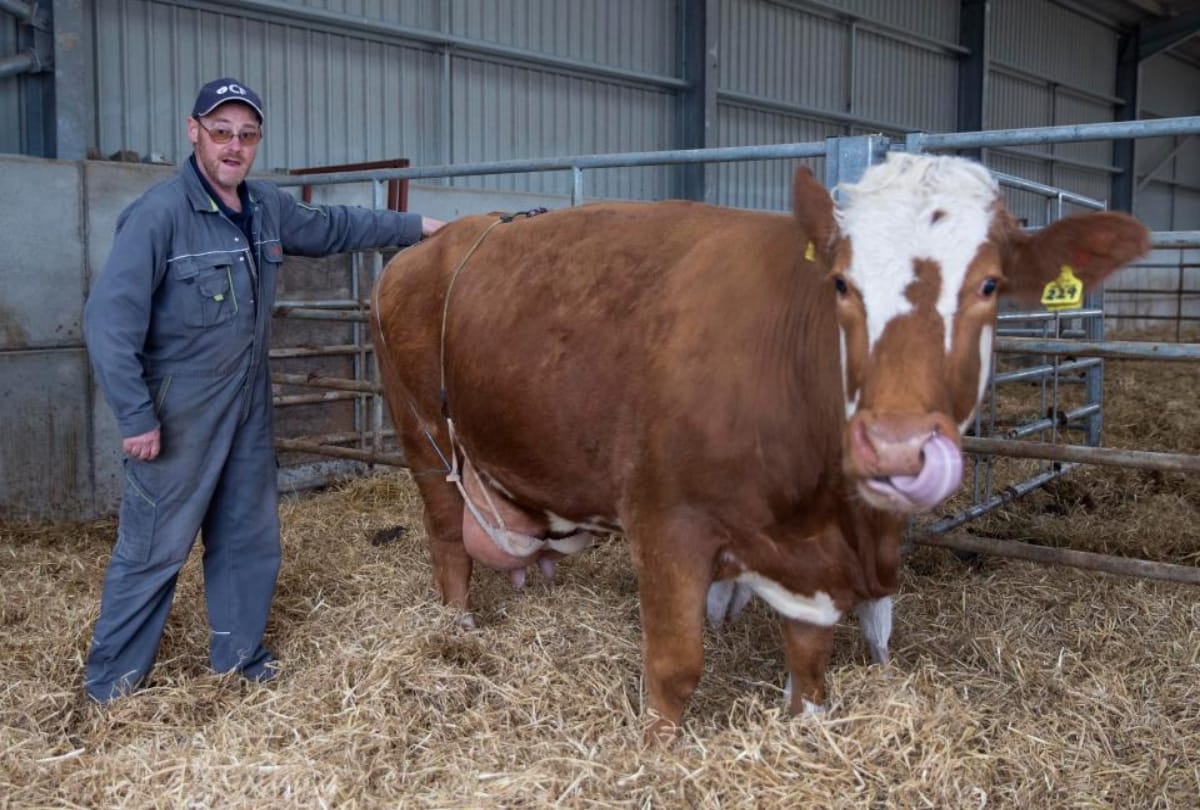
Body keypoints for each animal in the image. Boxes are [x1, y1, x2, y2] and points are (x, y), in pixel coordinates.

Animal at [369, 152, 1149, 741]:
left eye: (989, 284)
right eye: (841, 282)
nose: (894, 448)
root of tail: (434, 243)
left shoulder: (812, 562)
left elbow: (809, 662)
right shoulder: (667, 520)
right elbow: (674, 669)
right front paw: (655, 758)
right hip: (424, 436)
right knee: (447, 540)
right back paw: (459, 628)